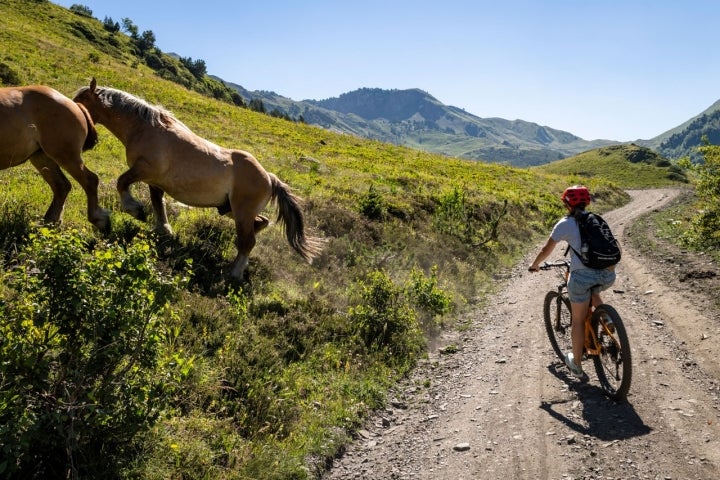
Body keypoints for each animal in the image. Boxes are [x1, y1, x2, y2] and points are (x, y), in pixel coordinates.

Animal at [0, 84, 109, 229]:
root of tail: (74, 104)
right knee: (61, 185)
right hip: (43, 158)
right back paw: (50, 221)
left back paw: (97, 219)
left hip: (66, 156)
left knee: (90, 180)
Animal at [73, 78, 320, 278]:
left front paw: (135, 210)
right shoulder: (155, 182)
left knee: (249, 241)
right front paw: (163, 230)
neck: (145, 129)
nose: (86, 136)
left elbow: (122, 183)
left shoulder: (143, 171)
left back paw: (234, 273)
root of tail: (269, 177)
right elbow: (158, 205)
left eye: (80, 100)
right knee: (258, 226)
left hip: (241, 212)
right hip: (231, 210)